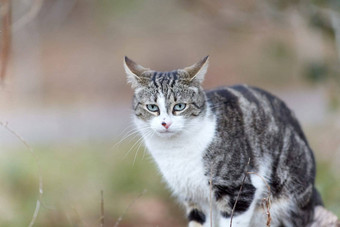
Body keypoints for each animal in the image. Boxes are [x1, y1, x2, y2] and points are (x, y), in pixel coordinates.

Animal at [123, 55, 322, 227]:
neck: (174, 149)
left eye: (179, 106)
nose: (165, 123)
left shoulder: (239, 191)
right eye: (152, 107)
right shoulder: (194, 199)